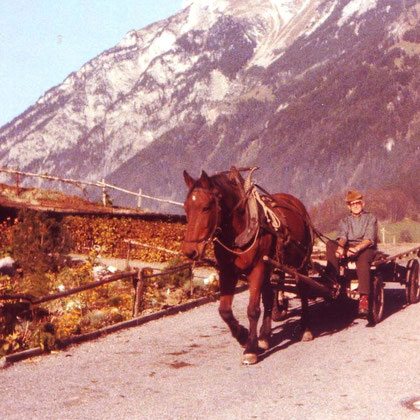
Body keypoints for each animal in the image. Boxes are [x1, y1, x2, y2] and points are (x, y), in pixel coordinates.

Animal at [182, 167, 314, 364]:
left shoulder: (257, 269)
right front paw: (243, 336)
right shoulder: (227, 272)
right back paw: (265, 337)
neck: (241, 229)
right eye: (186, 208)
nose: (190, 251)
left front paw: (250, 349)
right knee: (269, 297)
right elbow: (224, 311)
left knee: (303, 290)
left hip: (300, 264)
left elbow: (253, 310)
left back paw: (305, 329)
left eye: (206, 207)